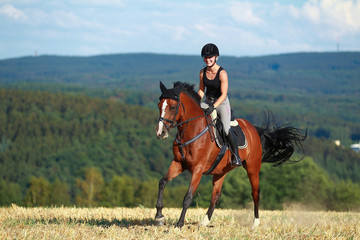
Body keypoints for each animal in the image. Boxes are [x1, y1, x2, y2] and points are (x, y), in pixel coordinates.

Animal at [155, 81, 306, 229]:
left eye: (173, 107)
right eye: (159, 106)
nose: (161, 133)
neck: (192, 131)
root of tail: (253, 129)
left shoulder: (197, 169)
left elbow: (188, 196)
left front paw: (179, 224)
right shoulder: (178, 163)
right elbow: (162, 182)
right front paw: (159, 216)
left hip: (252, 168)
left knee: (255, 193)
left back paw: (255, 223)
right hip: (220, 171)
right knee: (216, 196)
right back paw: (204, 222)